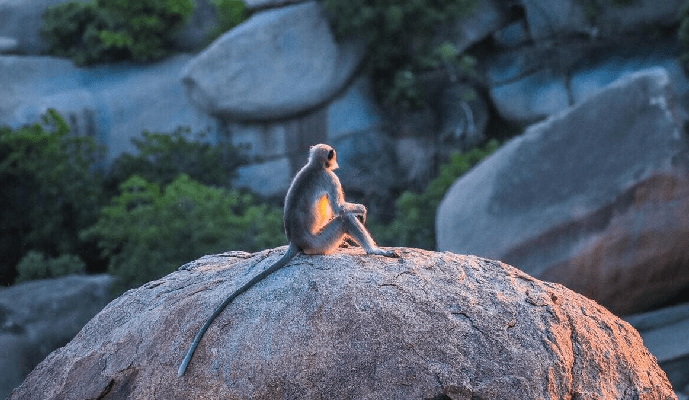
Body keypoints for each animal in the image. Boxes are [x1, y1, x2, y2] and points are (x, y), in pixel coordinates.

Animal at [179, 145, 398, 376]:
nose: (336, 160)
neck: (314, 166)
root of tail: (295, 241)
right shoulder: (330, 177)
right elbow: (339, 208)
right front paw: (362, 210)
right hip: (319, 243)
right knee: (344, 219)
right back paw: (374, 251)